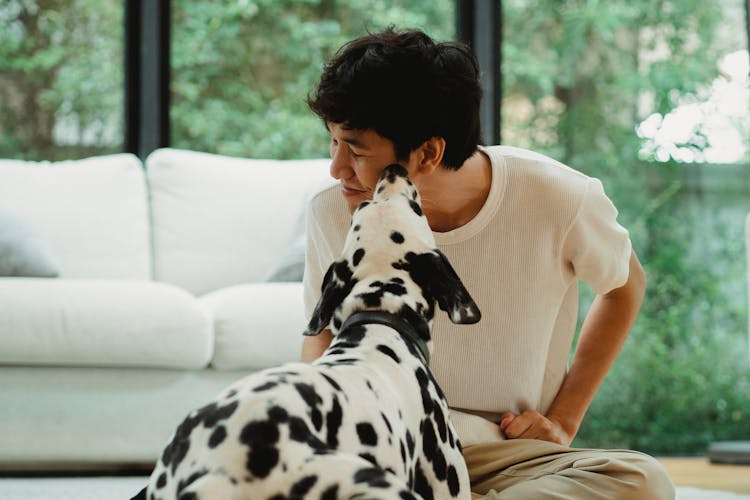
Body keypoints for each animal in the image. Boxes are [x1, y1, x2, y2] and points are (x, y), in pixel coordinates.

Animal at [135, 165, 482, 500]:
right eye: (414, 209)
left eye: (363, 208)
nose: (394, 167)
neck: (379, 320)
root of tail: (215, 472)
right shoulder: (447, 482)